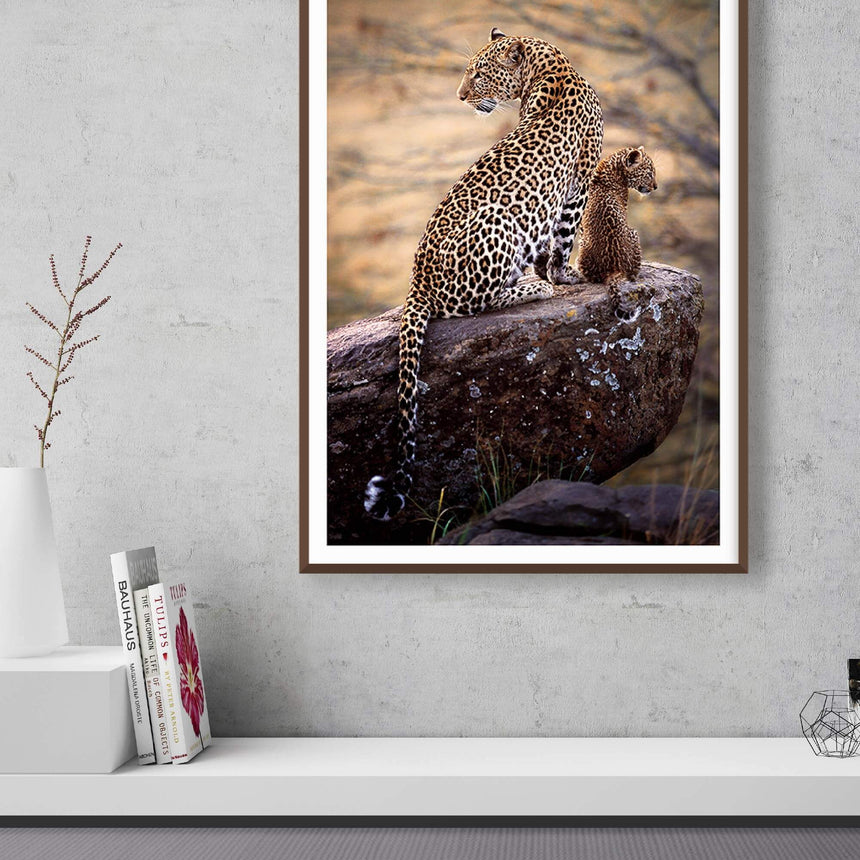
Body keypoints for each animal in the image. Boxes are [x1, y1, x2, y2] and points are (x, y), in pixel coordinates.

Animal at [364, 28, 603, 521]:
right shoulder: (577, 187)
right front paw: (563, 277)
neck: (552, 69)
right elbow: (564, 239)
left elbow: (553, 241)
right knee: (476, 303)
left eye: (478, 73)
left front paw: (555, 270)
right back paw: (532, 288)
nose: (459, 96)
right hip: (497, 221)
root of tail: (417, 279)